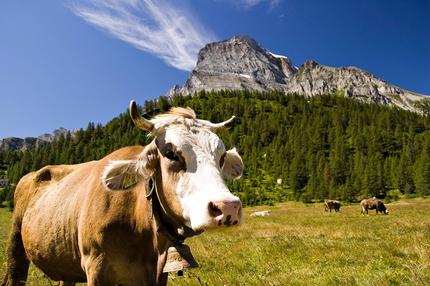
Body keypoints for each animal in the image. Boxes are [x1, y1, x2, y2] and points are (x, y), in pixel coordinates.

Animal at [1, 102, 245, 286]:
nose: (227, 207)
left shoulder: (159, 275)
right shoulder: (97, 268)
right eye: (170, 154)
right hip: (16, 247)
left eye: (222, 156)